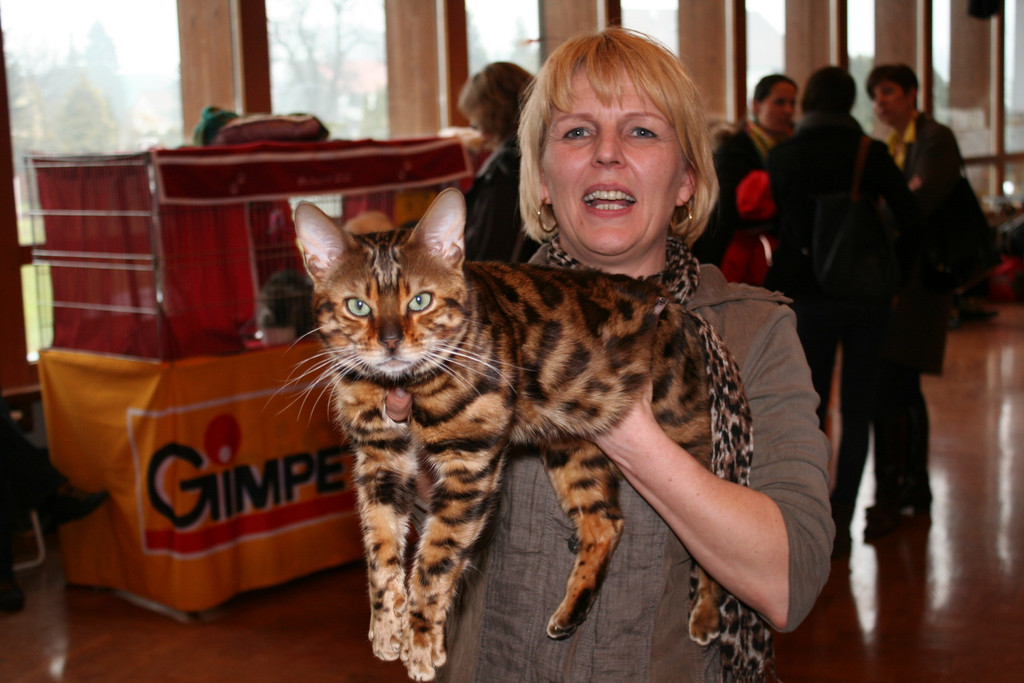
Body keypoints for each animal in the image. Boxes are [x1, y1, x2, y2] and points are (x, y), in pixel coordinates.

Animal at [294, 188, 721, 681]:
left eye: (420, 301)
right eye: (357, 306)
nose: (390, 342)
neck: (401, 388)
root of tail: (668, 300)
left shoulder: (470, 461)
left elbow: (436, 558)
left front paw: (421, 642)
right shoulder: (379, 459)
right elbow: (379, 549)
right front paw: (386, 628)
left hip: (681, 435)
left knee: (713, 526)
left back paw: (707, 615)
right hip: (572, 447)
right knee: (606, 522)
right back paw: (570, 613)